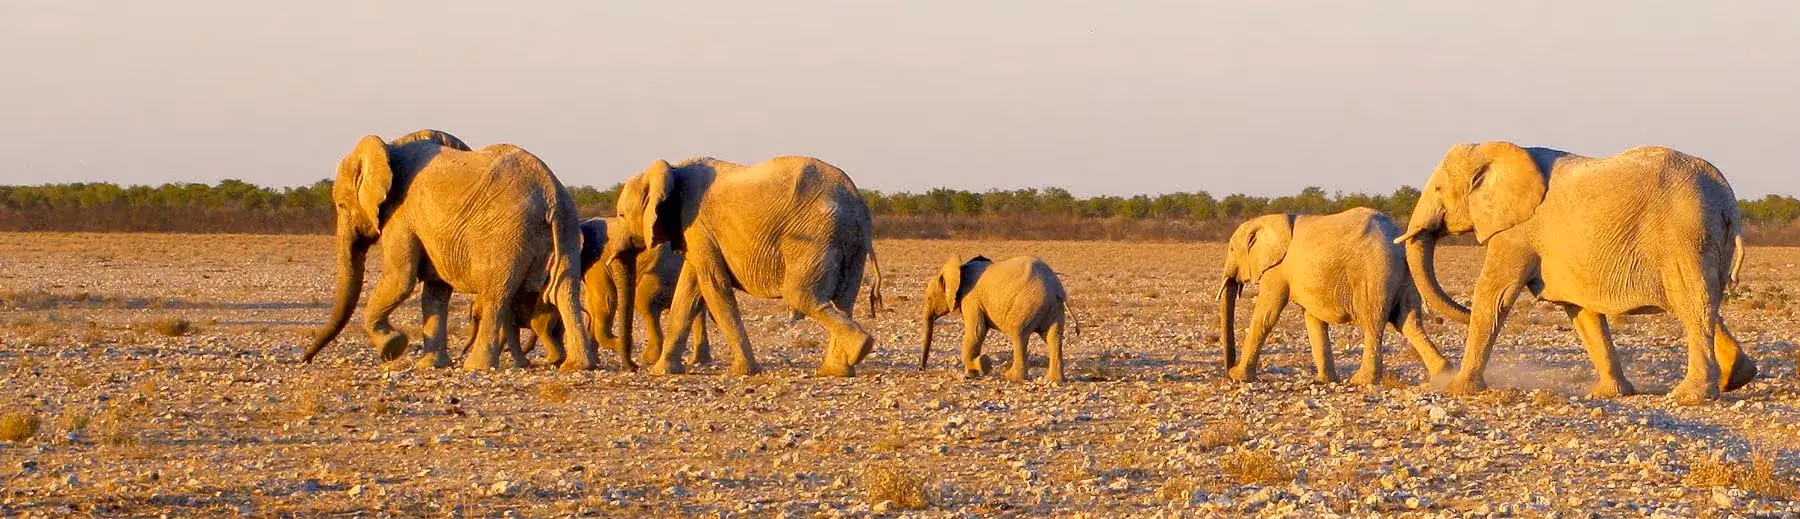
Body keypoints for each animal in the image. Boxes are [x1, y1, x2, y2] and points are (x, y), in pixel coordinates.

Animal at [301, 129, 601, 371]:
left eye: (341, 205)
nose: (306, 359)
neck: (389, 147)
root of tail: (550, 193)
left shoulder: (401, 216)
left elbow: (401, 279)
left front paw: (392, 347)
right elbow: (435, 290)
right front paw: (430, 365)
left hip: (507, 237)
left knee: (496, 294)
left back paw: (476, 366)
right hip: (567, 225)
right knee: (565, 290)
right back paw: (578, 366)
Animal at [607, 156, 885, 377]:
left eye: (621, 215)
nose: (633, 368)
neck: (672, 169)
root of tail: (857, 202)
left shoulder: (697, 224)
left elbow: (714, 286)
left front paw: (742, 372)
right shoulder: (694, 232)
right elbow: (689, 291)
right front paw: (662, 371)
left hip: (816, 237)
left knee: (801, 296)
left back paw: (860, 348)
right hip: (849, 241)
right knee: (844, 300)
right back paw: (836, 370)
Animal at [919, 255, 1070, 384]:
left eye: (929, 298)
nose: (921, 369)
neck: (960, 268)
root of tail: (1057, 289)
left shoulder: (971, 298)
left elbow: (976, 332)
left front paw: (982, 365)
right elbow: (978, 333)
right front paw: (971, 374)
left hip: (1029, 303)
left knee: (1018, 334)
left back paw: (1011, 377)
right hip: (1053, 308)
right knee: (1053, 337)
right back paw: (1054, 380)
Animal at [1218, 209, 1451, 385]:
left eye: (1231, 249)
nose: (1227, 372)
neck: (1268, 219)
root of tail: (1401, 244)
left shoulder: (1277, 270)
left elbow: (1266, 315)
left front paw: (1239, 377)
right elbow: (1313, 321)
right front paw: (1323, 381)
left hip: (1375, 272)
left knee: (1373, 321)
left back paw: (1361, 381)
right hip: (1405, 275)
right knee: (1408, 322)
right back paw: (1443, 375)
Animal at [1395, 142, 1751, 404]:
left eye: (1438, 188)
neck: (1492, 150)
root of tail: (1728, 200)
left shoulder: (1517, 231)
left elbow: (1493, 295)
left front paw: (1456, 390)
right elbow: (1582, 310)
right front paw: (1609, 393)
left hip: (1686, 236)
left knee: (1692, 305)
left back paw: (1690, 396)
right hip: (1704, 240)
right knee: (1701, 305)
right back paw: (1739, 376)